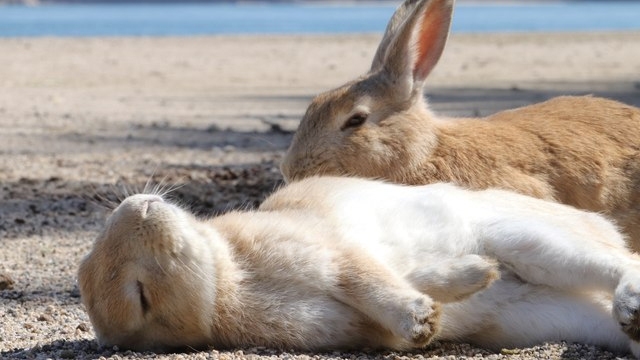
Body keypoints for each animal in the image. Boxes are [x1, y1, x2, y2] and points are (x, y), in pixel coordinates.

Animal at [79, 175, 640, 358]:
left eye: (90, 251)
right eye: (141, 296)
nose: (139, 207)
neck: (228, 283)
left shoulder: (330, 252)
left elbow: (368, 279)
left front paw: (429, 309)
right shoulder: (351, 314)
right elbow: (397, 293)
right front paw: (441, 307)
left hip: (530, 239)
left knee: (617, 263)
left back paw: (629, 297)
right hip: (547, 314)